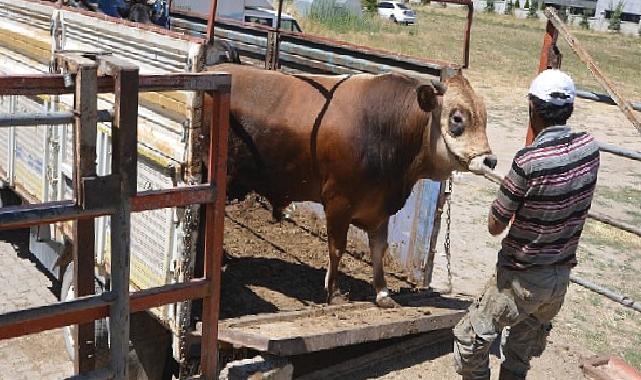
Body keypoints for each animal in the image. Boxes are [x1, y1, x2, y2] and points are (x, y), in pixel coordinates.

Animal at [206, 63, 496, 308]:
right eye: (457, 118)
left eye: (484, 117)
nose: (490, 160)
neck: (385, 127)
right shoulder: (338, 202)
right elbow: (337, 248)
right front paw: (332, 293)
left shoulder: (380, 208)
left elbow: (379, 249)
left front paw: (383, 293)